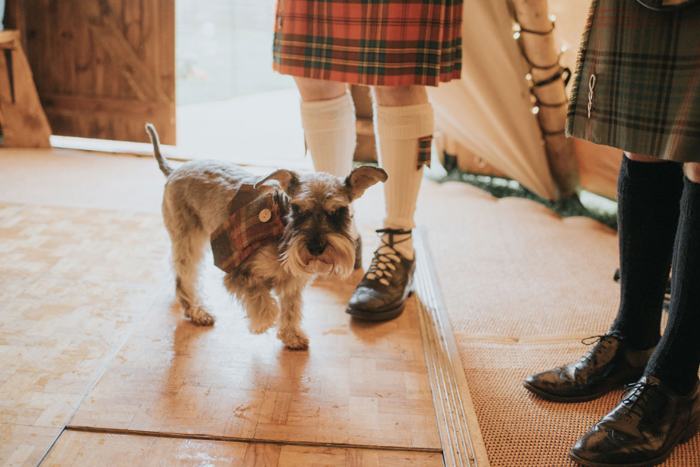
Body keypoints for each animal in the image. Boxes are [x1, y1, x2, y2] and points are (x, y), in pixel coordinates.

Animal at [145, 125, 386, 352]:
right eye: (298, 210)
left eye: (337, 212)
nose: (316, 248)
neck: (281, 226)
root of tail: (174, 170)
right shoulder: (239, 272)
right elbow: (262, 300)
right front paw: (260, 324)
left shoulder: (293, 282)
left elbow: (291, 308)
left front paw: (292, 336)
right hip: (189, 238)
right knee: (185, 274)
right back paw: (197, 310)